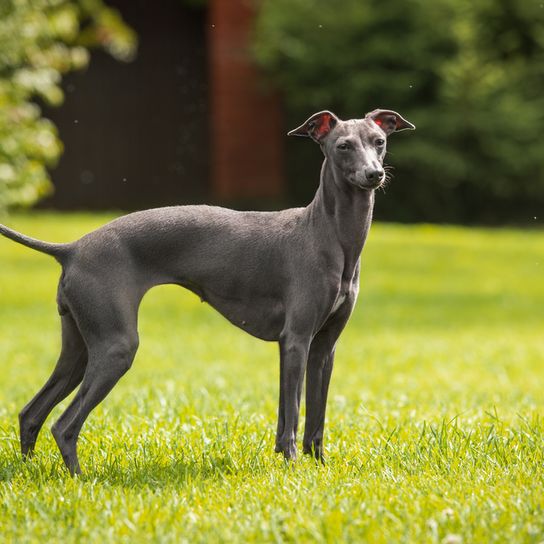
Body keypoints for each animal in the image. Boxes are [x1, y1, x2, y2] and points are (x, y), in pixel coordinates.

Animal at [0, 108, 414, 474]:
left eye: (379, 141)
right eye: (343, 146)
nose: (374, 174)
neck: (327, 235)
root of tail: (71, 248)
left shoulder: (323, 347)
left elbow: (313, 415)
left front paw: (319, 467)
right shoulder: (296, 340)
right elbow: (292, 415)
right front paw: (294, 467)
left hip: (80, 347)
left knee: (32, 413)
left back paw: (31, 471)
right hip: (115, 347)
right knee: (63, 425)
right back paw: (80, 479)